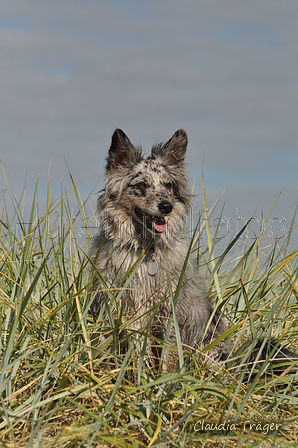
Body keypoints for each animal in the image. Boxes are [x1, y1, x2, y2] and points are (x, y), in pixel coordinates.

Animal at [90, 128, 296, 372]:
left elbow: (168, 357)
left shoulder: (170, 314)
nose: (166, 207)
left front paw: (165, 379)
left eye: (168, 186)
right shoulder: (119, 309)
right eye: (141, 185)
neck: (146, 250)